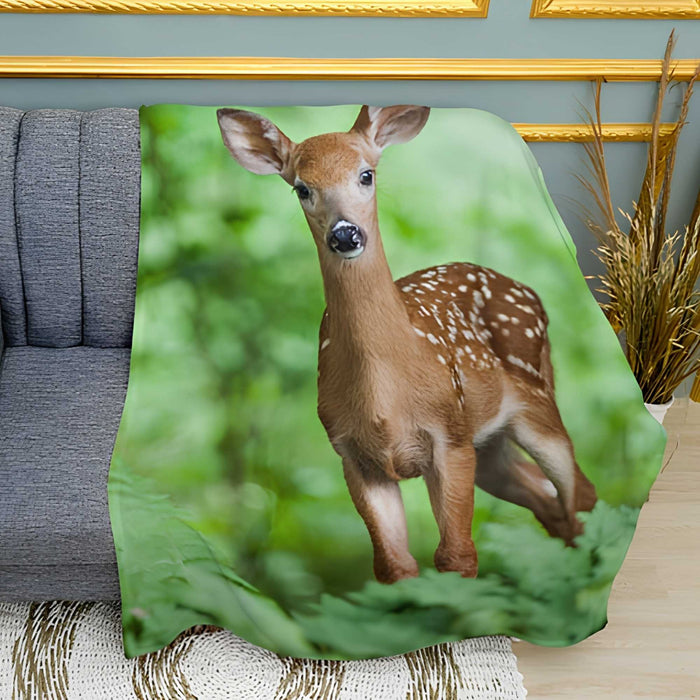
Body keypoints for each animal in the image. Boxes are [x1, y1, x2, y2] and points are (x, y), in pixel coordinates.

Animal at [217, 105, 598, 584]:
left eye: (366, 174)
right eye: (302, 188)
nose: (345, 235)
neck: (385, 395)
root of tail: (528, 291)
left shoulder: (449, 437)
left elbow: (456, 556)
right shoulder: (353, 454)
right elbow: (394, 565)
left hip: (534, 404)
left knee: (579, 492)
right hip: (490, 445)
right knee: (551, 503)